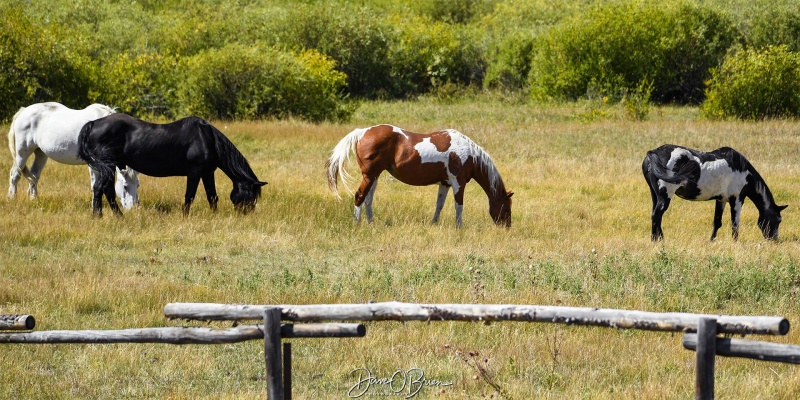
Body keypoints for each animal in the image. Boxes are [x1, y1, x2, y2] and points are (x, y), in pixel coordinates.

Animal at [5, 101, 141, 208]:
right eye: (125, 186)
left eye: (138, 185)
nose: (134, 207)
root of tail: (23, 111)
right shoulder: (93, 165)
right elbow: (95, 185)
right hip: (22, 153)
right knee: (14, 175)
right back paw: (12, 199)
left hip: (41, 154)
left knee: (34, 176)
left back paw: (34, 199)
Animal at [78, 114, 268, 217]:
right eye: (251, 196)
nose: (245, 214)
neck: (208, 139)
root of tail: (93, 123)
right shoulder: (194, 172)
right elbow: (189, 196)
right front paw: (185, 216)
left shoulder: (208, 172)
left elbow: (212, 196)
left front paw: (214, 215)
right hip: (108, 166)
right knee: (106, 189)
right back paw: (118, 216)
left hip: (102, 168)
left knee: (99, 189)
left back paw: (98, 216)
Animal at [324, 123, 512, 227]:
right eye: (506, 207)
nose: (507, 227)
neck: (468, 153)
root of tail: (363, 132)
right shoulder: (458, 183)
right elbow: (459, 206)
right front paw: (460, 227)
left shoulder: (445, 183)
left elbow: (439, 205)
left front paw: (434, 223)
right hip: (369, 176)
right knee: (360, 196)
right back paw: (357, 224)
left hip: (374, 176)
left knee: (368, 200)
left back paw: (371, 223)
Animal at [640, 145, 784, 242]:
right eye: (778, 220)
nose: (775, 241)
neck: (743, 171)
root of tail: (654, 153)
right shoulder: (737, 199)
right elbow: (735, 223)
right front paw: (735, 242)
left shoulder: (721, 200)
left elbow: (717, 222)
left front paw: (712, 240)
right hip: (666, 195)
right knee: (657, 215)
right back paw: (657, 240)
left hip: (655, 194)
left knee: (655, 216)